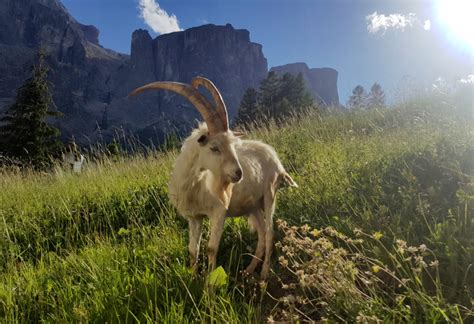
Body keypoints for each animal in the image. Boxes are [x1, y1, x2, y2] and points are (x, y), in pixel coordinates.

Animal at [130, 76, 296, 278]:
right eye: (214, 147)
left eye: (233, 145)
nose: (238, 173)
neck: (196, 183)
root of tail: (274, 157)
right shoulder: (194, 217)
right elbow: (192, 249)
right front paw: (192, 277)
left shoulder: (218, 212)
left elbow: (211, 248)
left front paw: (209, 282)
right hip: (252, 206)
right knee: (262, 233)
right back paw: (248, 271)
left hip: (269, 195)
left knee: (270, 233)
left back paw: (263, 275)